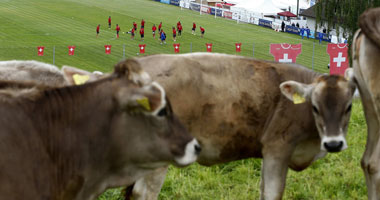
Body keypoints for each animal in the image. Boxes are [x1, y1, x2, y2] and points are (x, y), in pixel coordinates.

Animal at [124, 53, 356, 200]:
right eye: (315, 107)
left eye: (349, 107)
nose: (334, 144)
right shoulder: (277, 147)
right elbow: (272, 193)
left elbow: (263, 190)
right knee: (144, 193)